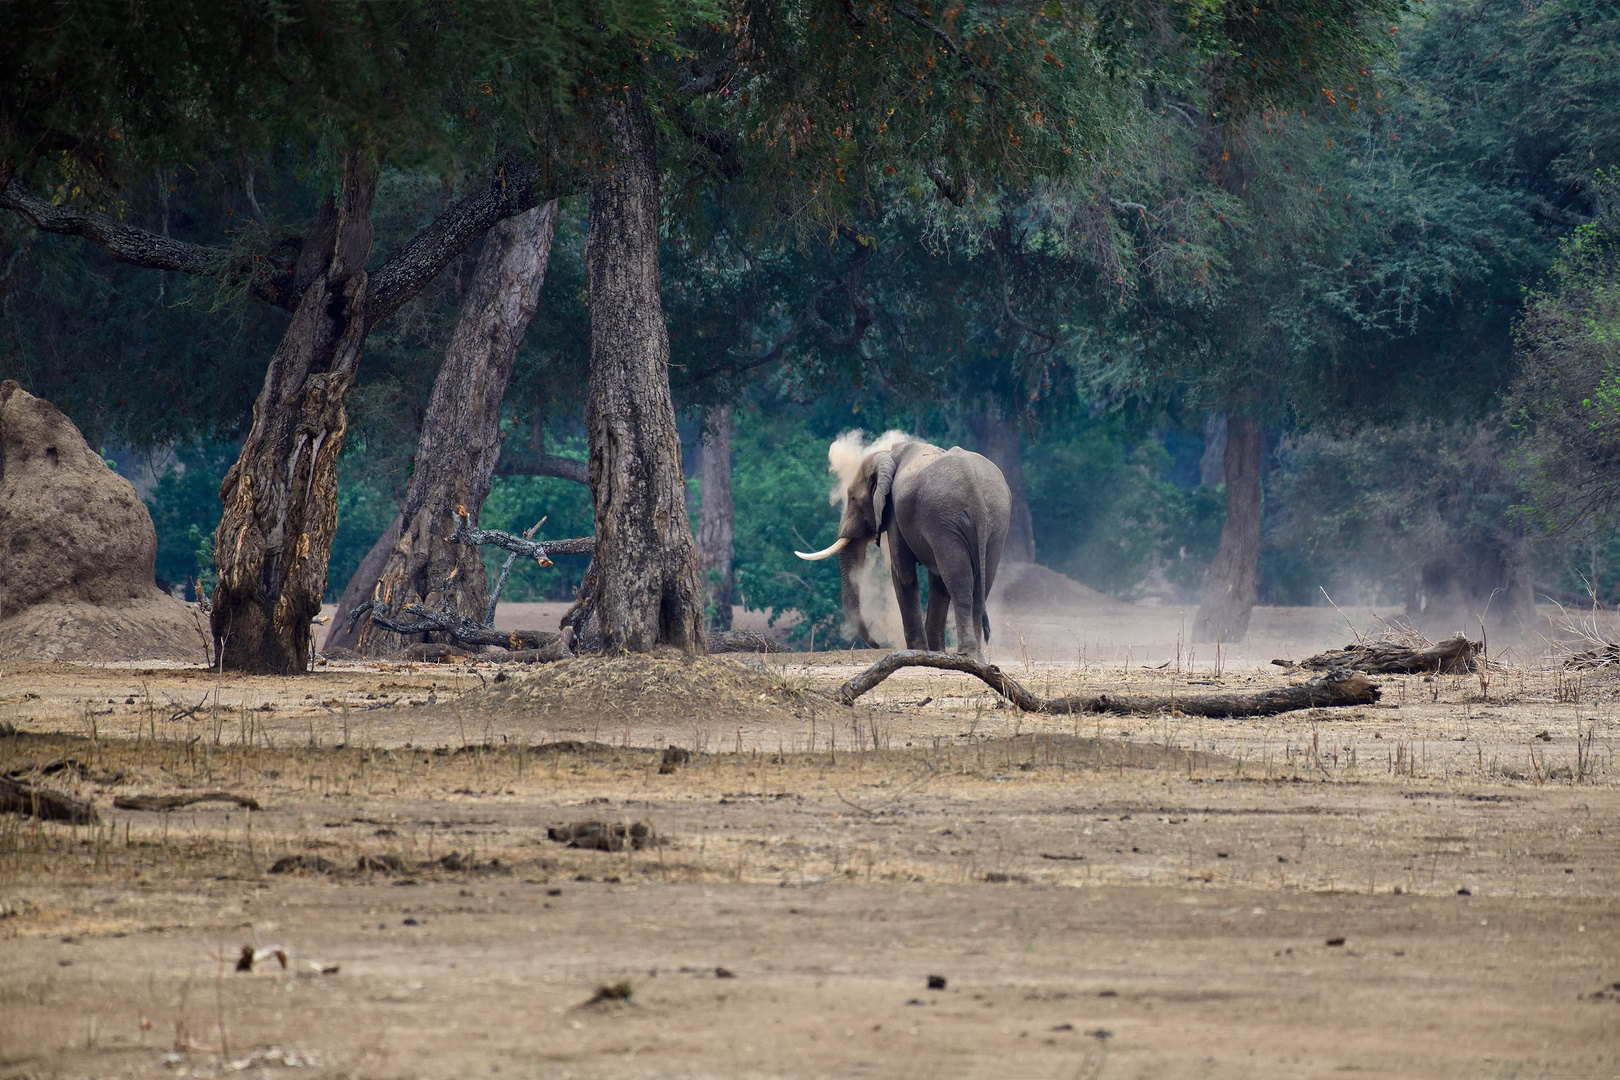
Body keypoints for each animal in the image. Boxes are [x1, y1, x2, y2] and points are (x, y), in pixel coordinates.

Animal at [793, 437, 1004, 660]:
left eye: (852, 498)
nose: (876, 644)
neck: (887, 455)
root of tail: (974, 490)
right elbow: (936, 580)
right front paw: (936, 653)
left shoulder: (895, 512)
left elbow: (904, 573)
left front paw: (917, 652)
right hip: (994, 523)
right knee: (980, 586)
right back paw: (976, 656)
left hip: (946, 518)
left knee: (958, 583)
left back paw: (967, 655)